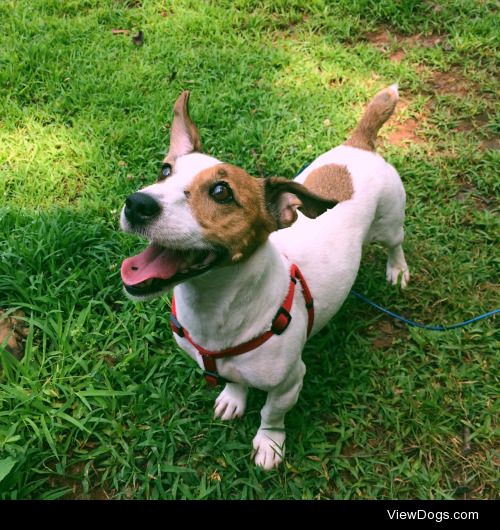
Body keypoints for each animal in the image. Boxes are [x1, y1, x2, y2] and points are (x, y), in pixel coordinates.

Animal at [120, 84, 410, 468]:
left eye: (221, 192)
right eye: (164, 170)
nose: (136, 203)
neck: (214, 311)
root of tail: (359, 144)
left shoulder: (289, 382)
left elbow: (271, 415)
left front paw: (269, 443)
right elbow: (234, 382)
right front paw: (234, 397)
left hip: (390, 223)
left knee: (396, 244)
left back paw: (397, 270)